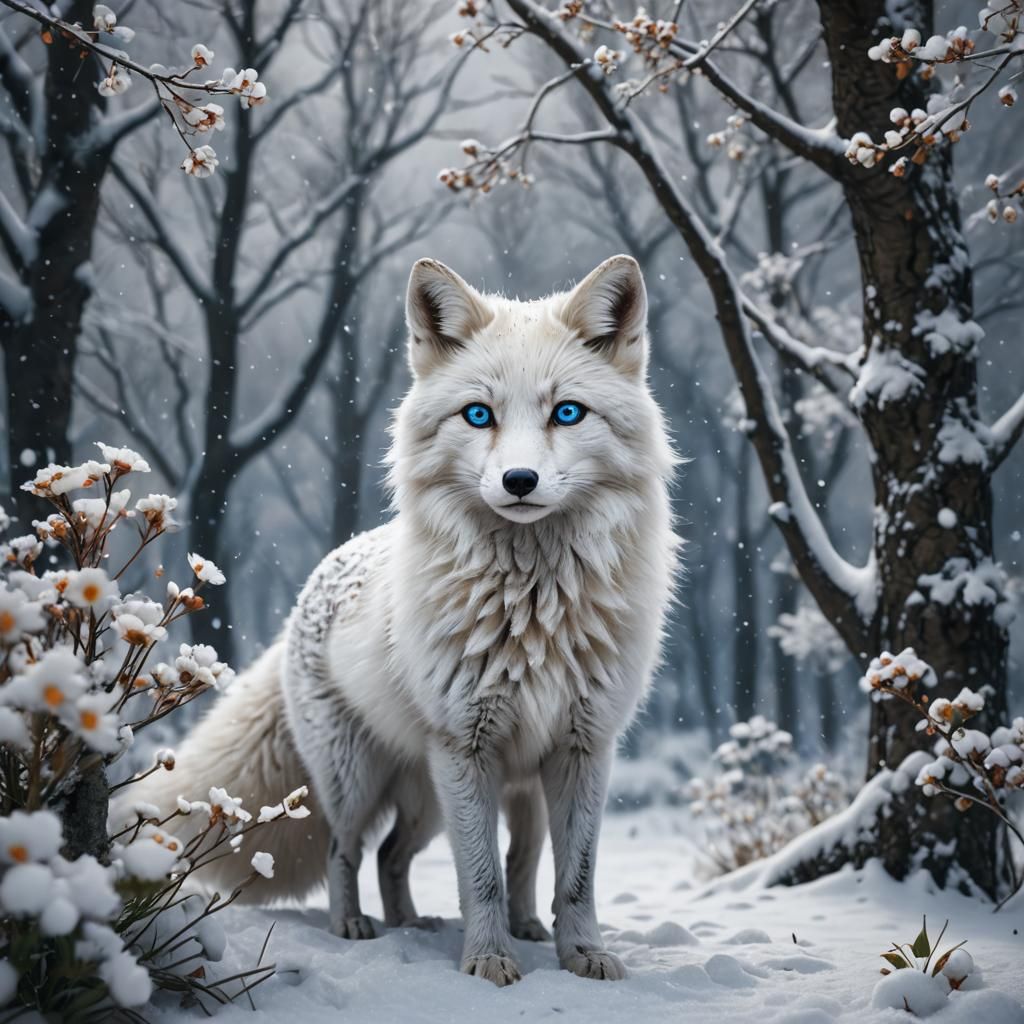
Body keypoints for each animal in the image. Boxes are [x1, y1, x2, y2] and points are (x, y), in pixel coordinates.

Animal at [126, 254, 677, 986]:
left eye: (567, 413)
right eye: (478, 415)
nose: (519, 481)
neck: (533, 607)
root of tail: (315, 581)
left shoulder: (584, 748)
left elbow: (574, 877)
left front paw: (581, 955)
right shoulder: (467, 748)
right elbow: (481, 879)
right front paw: (489, 961)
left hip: (458, 796)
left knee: (435, 855)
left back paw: (439, 924)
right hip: (368, 782)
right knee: (349, 848)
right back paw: (356, 926)